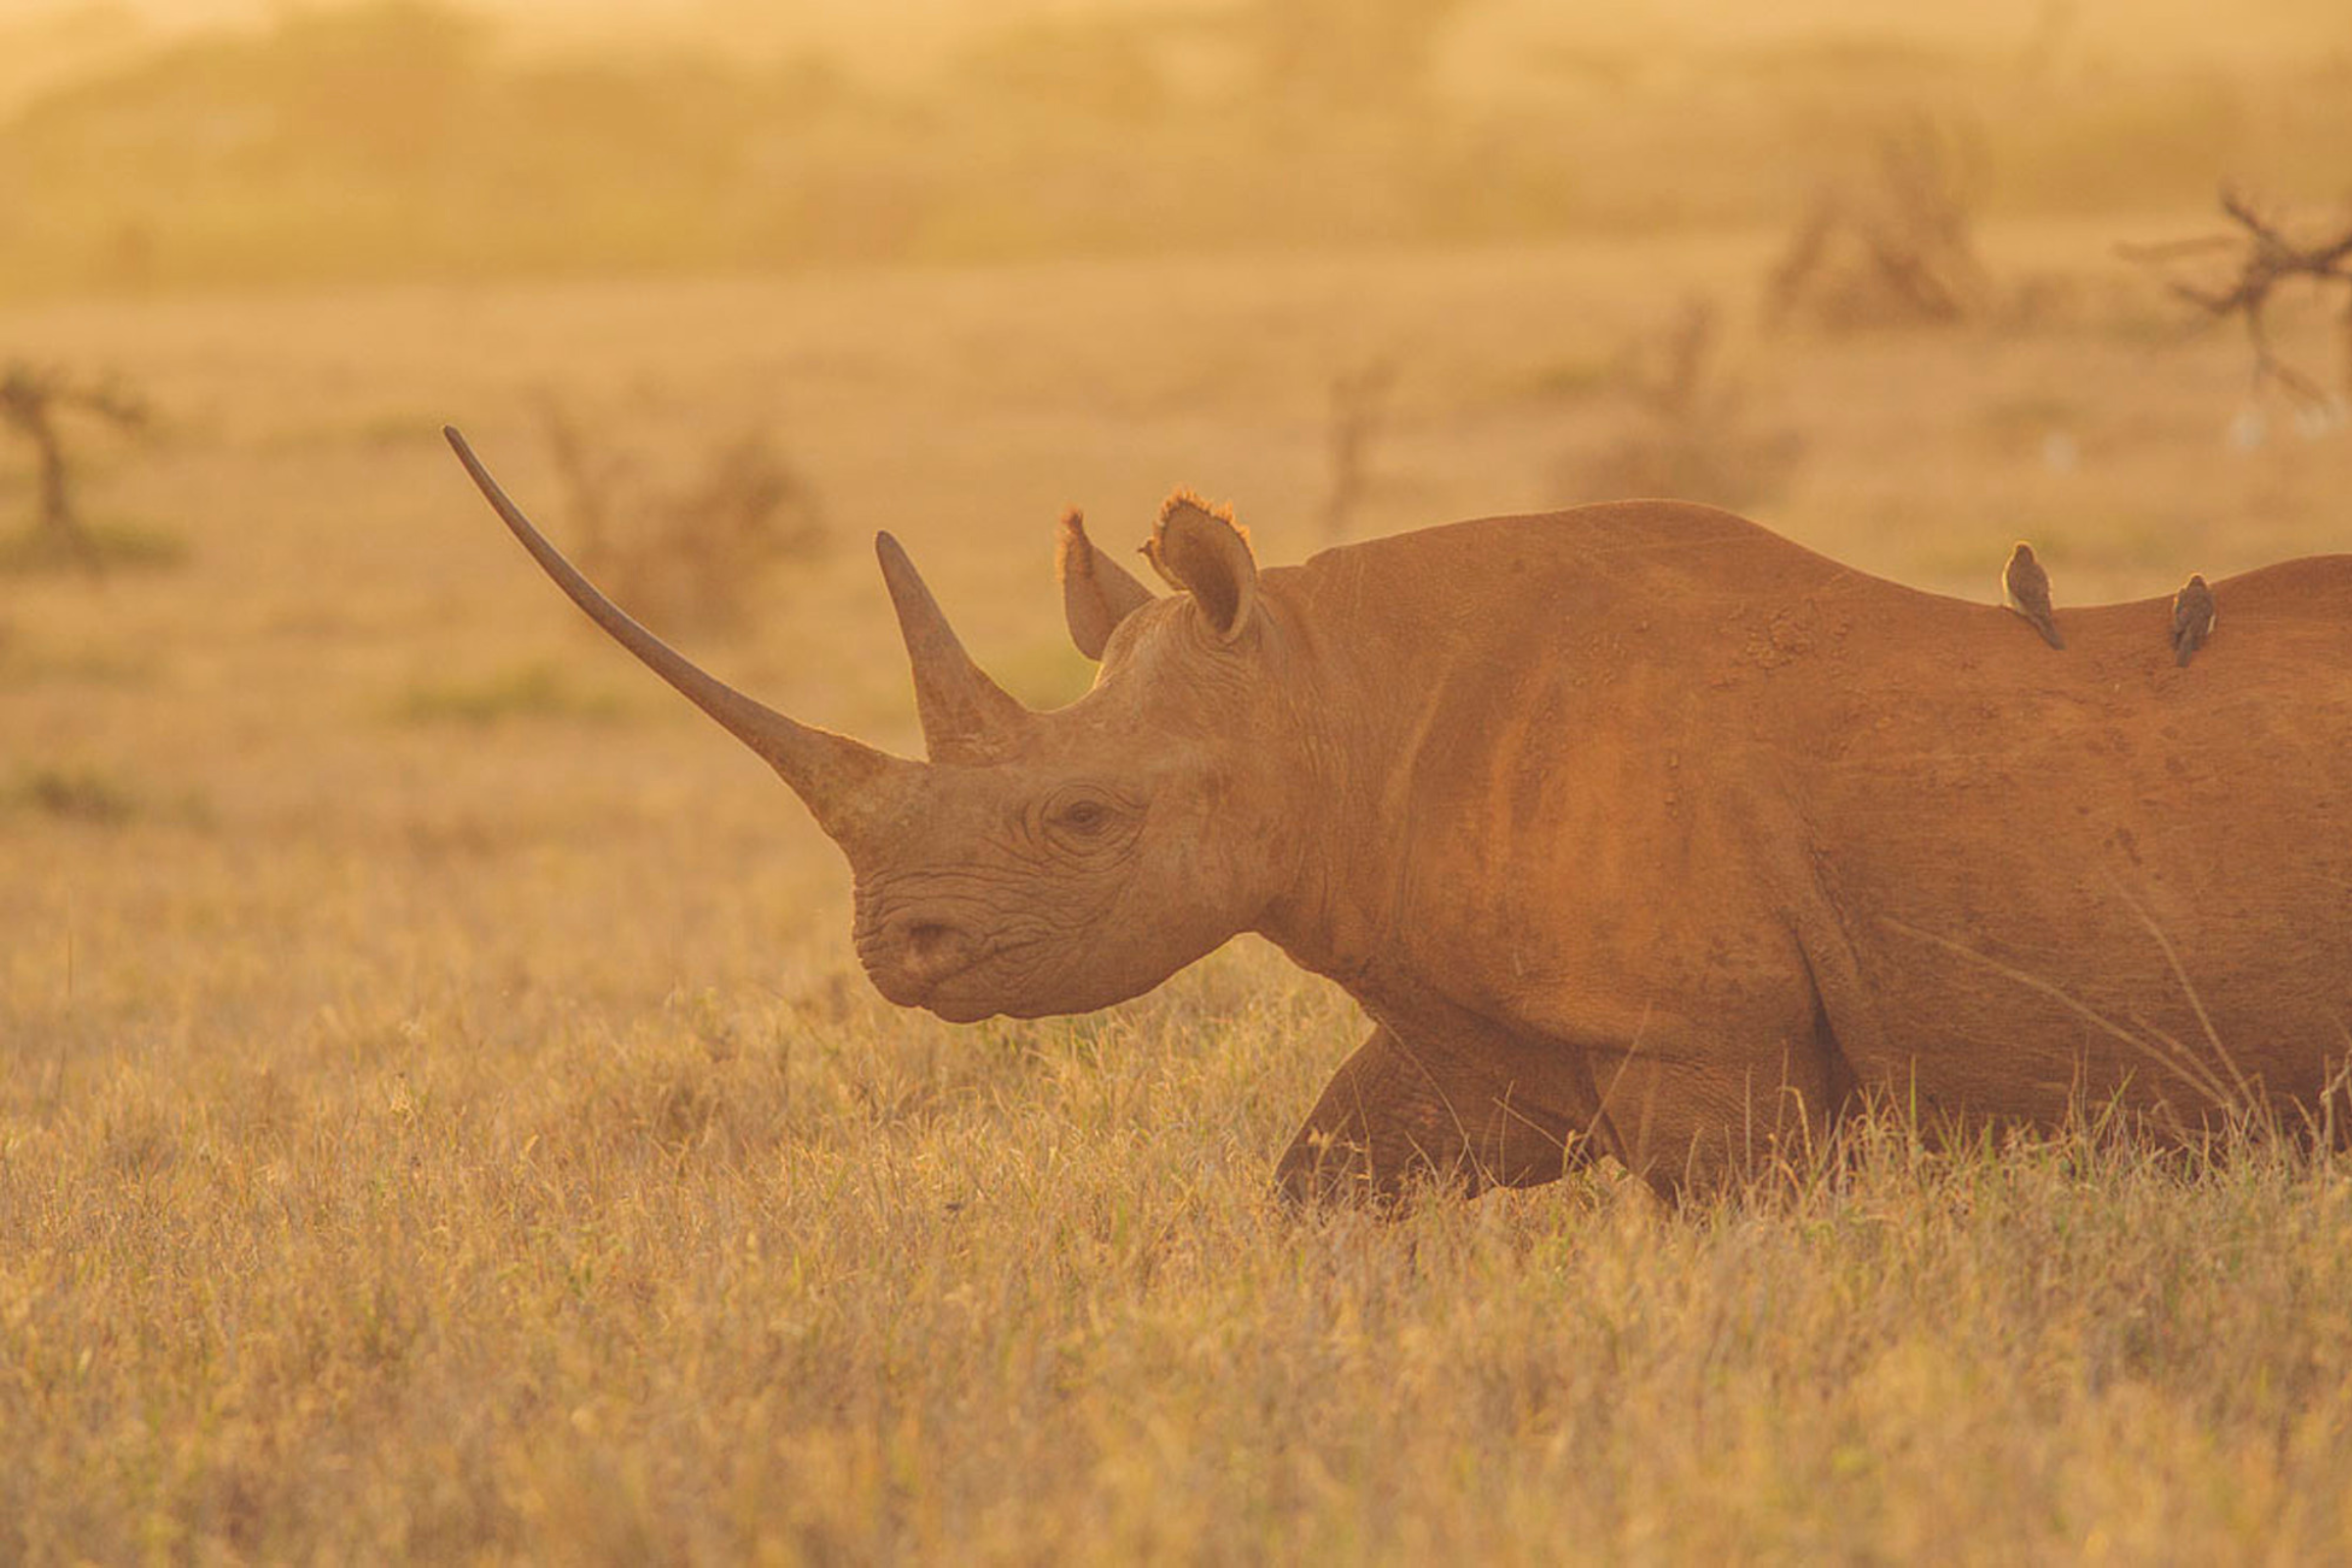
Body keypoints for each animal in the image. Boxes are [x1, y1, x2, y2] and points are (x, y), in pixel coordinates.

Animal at [446, 428, 2352, 1200]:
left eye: (1084, 821)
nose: (888, 951)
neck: (1324, 698)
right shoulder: (1478, 1021)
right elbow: (1325, 1183)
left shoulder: (1703, 1037)